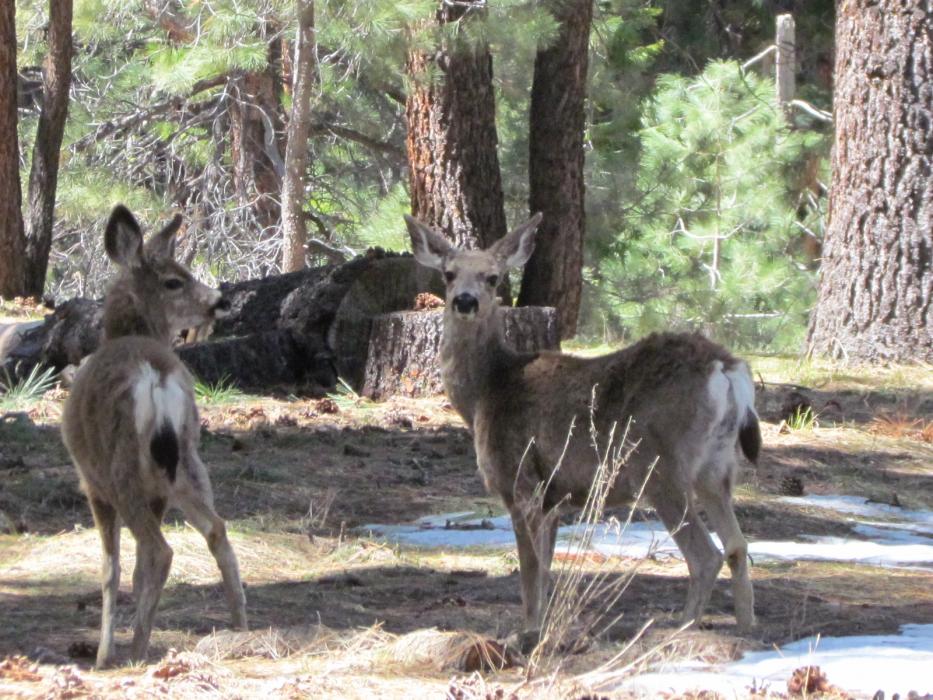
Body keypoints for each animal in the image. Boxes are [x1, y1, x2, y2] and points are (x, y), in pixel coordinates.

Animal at [62, 205, 247, 669]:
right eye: (174, 280)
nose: (220, 301)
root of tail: (158, 377)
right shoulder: (157, 492)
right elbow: (133, 568)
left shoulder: (91, 484)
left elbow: (110, 570)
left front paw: (103, 653)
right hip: (186, 463)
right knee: (216, 530)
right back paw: (240, 626)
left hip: (122, 467)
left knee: (160, 549)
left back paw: (132, 651)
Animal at [405, 213, 761, 641]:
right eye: (449, 273)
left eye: (493, 277)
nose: (465, 301)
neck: (486, 392)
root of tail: (726, 368)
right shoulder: (553, 498)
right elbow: (545, 571)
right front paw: (540, 629)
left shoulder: (521, 479)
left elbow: (530, 571)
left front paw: (527, 634)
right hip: (717, 468)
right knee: (738, 545)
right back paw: (747, 629)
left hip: (661, 467)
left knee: (705, 555)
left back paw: (679, 630)